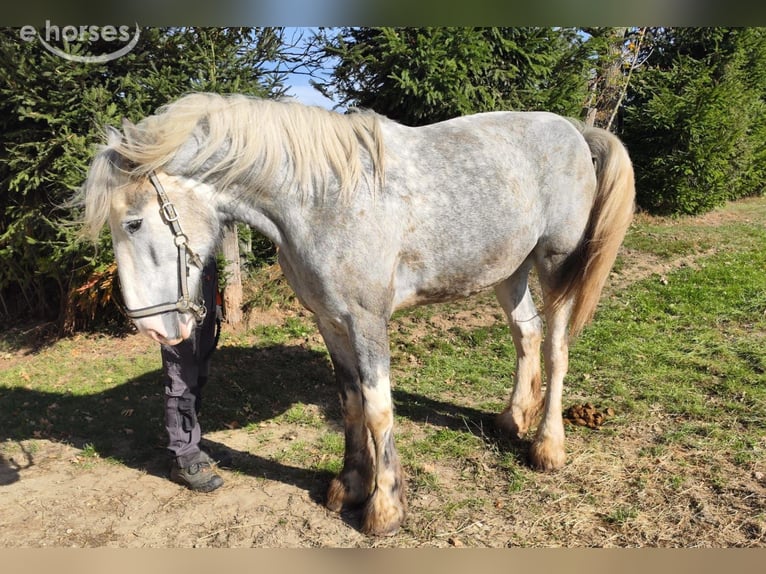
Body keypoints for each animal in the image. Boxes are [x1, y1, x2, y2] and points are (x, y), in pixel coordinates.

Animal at [80, 92, 634, 535]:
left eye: (133, 222)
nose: (153, 328)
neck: (320, 200)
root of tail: (574, 131)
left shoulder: (368, 321)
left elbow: (378, 407)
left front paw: (384, 509)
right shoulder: (330, 320)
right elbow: (349, 402)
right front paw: (348, 486)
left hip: (555, 265)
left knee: (555, 347)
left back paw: (548, 448)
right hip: (508, 270)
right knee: (526, 334)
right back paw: (512, 419)